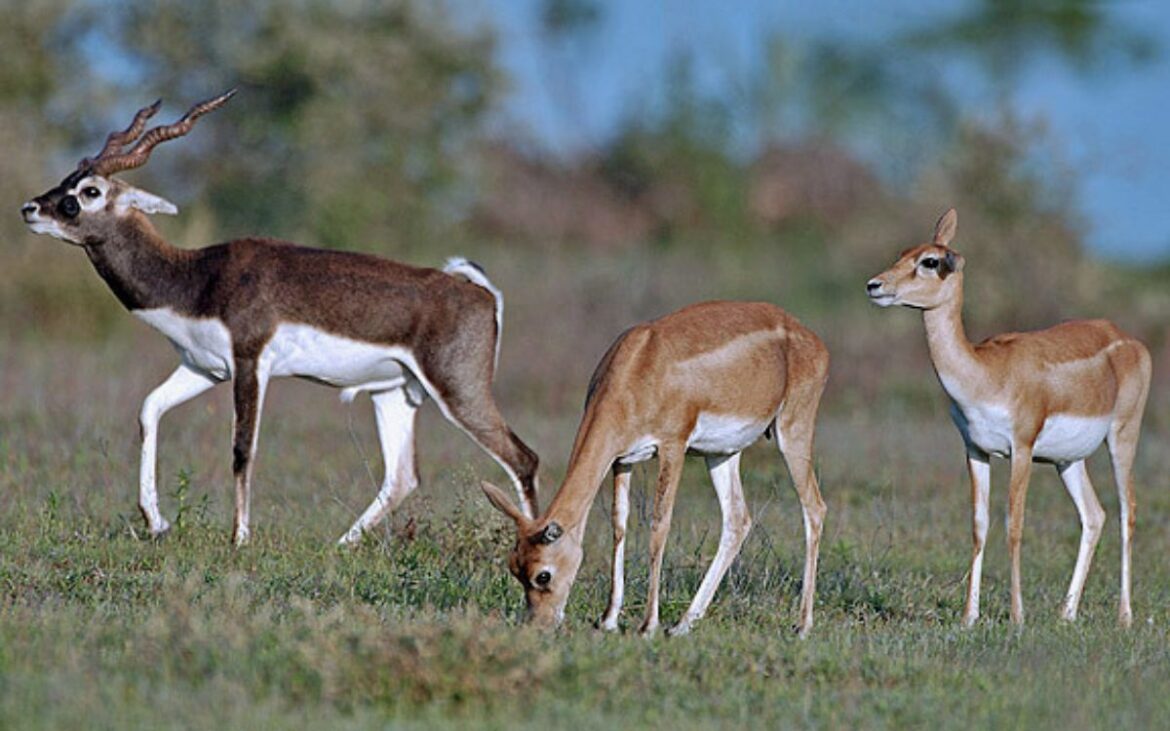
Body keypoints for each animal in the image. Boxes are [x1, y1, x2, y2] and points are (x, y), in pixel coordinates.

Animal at [21, 90, 539, 546]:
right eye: (69, 179)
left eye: (89, 191)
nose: (30, 208)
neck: (198, 277)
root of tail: (478, 292)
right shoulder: (203, 368)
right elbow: (149, 409)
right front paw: (156, 522)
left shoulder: (250, 364)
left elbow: (241, 449)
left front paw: (240, 539)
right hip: (394, 393)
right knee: (402, 477)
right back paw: (340, 545)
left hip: (459, 392)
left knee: (523, 459)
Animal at [482, 301, 828, 636]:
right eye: (514, 567)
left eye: (543, 575)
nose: (538, 625)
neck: (638, 367)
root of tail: (811, 337)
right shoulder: (621, 460)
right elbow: (619, 525)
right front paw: (609, 620)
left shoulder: (672, 447)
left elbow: (659, 526)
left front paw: (648, 625)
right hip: (721, 454)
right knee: (737, 520)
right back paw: (683, 624)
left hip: (792, 432)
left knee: (814, 507)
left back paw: (802, 625)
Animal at [866, 209, 1150, 627]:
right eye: (903, 252)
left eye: (929, 262)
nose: (875, 285)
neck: (987, 373)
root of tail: (1128, 339)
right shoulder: (975, 450)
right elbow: (979, 525)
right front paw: (969, 617)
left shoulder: (1022, 448)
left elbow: (1013, 525)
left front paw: (1017, 616)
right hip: (1068, 460)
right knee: (1094, 515)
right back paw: (1066, 614)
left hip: (1122, 438)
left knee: (1127, 511)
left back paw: (1124, 616)